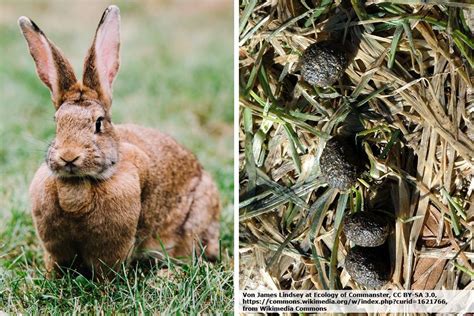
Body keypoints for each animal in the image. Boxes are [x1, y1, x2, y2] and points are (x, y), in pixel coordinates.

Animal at [17, 5, 220, 278]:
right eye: (57, 122)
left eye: (99, 123)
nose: (69, 156)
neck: (78, 185)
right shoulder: (55, 248)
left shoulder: (113, 248)